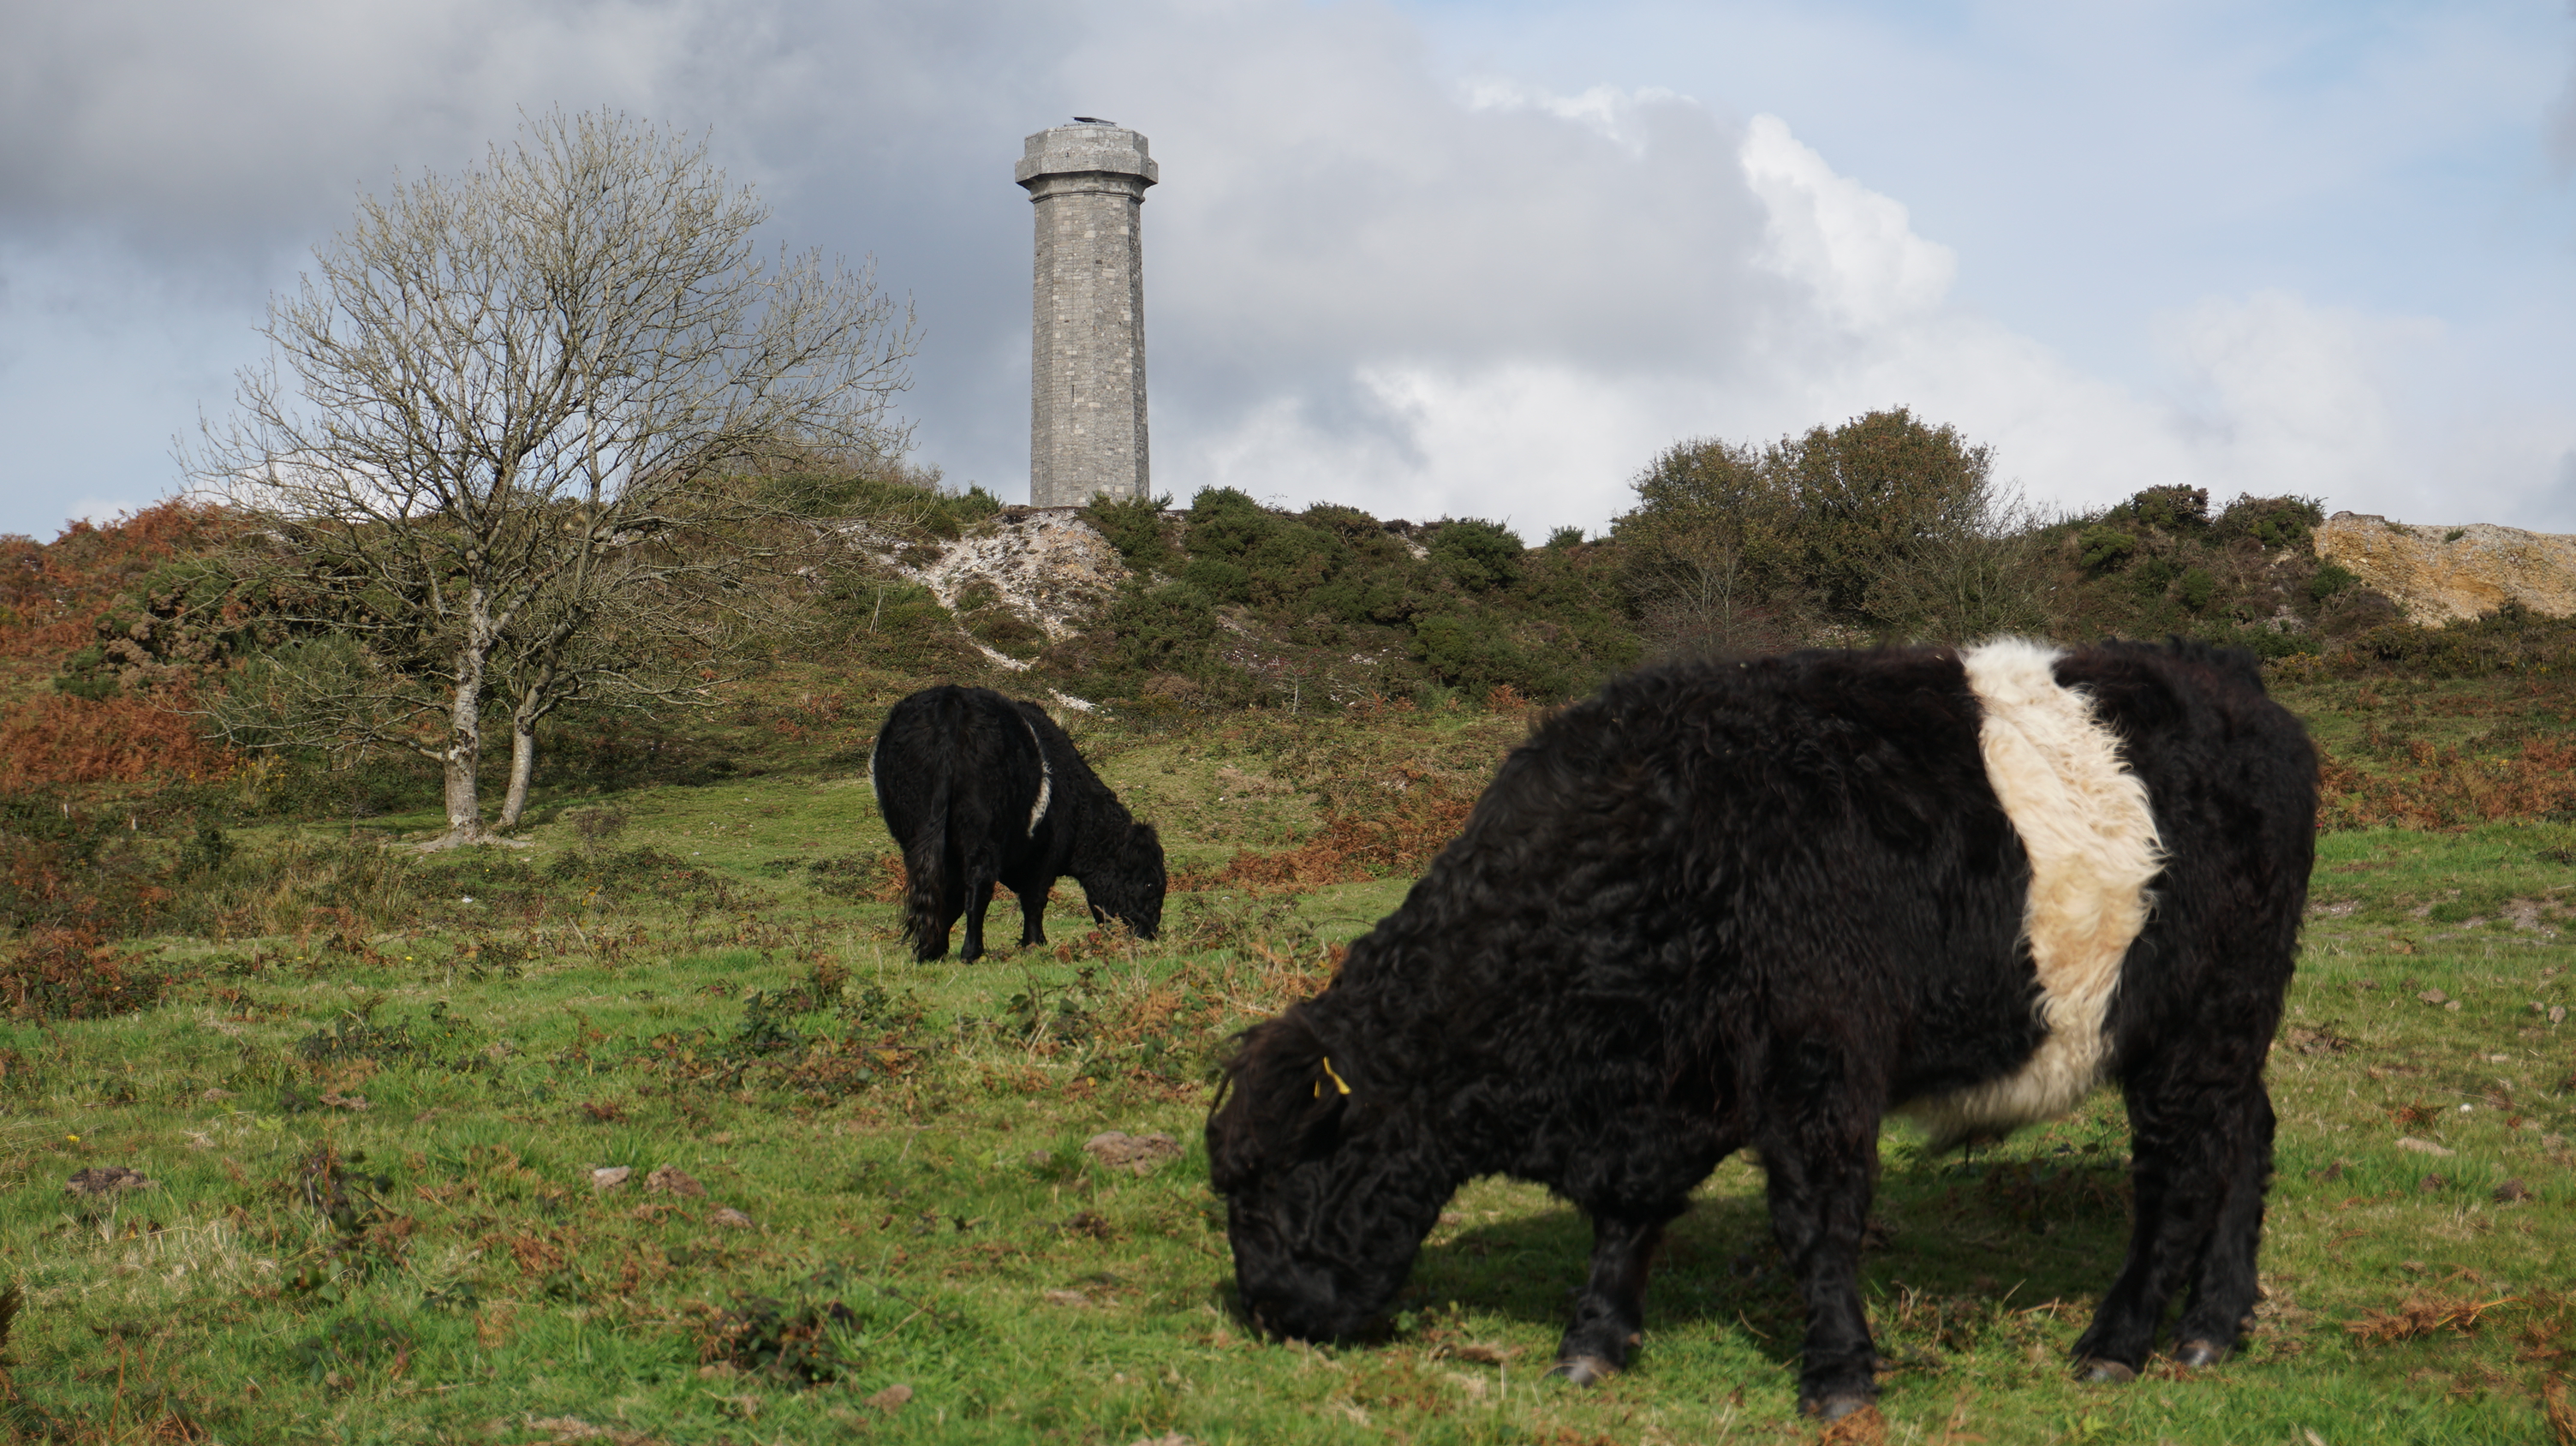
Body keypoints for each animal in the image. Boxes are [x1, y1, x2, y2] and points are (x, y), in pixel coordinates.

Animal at [871, 685, 1165, 962]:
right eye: (1150, 885)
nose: (1149, 934)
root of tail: (953, 700)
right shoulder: (1047, 853)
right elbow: (1035, 898)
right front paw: (1035, 943)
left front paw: (936, 948)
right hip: (984, 830)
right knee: (978, 885)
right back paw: (972, 952)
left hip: (914, 827)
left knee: (929, 880)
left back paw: (930, 950)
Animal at [1206, 638, 2315, 1420]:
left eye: (1286, 1175)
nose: (1267, 1310)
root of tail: (2225, 675)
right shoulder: (1668, 1083)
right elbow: (1628, 1216)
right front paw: (1591, 1340)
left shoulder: (1817, 1062)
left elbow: (1814, 1218)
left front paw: (1837, 1376)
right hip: (2222, 1031)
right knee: (2244, 1139)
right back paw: (2213, 1325)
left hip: (2198, 1017)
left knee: (2180, 1170)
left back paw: (2117, 1343)